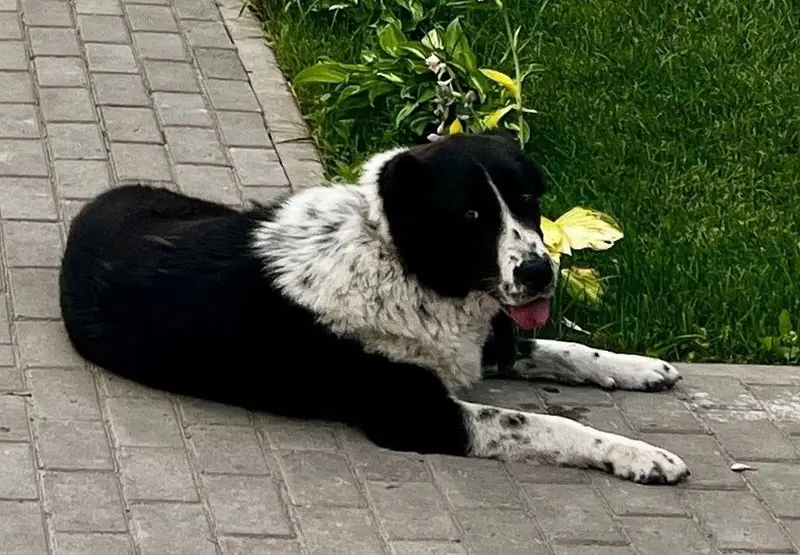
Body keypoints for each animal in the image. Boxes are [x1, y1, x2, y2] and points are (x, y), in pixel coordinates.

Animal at [59, 131, 689, 485]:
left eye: (528, 200)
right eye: (471, 216)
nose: (539, 274)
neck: (403, 263)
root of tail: (95, 205)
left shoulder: (483, 342)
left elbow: (567, 350)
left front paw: (638, 368)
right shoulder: (419, 417)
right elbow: (547, 423)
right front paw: (639, 454)